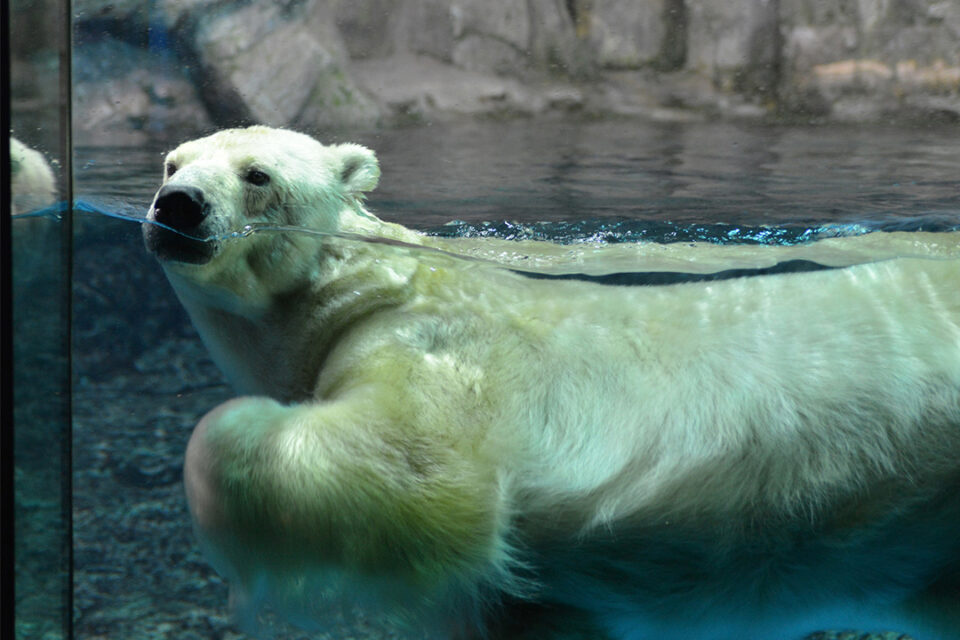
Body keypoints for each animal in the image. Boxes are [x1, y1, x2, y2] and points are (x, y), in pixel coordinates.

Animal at [146, 126, 960, 640]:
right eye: (172, 161)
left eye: (258, 175)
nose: (176, 206)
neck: (370, 282)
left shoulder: (436, 347)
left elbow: (420, 471)